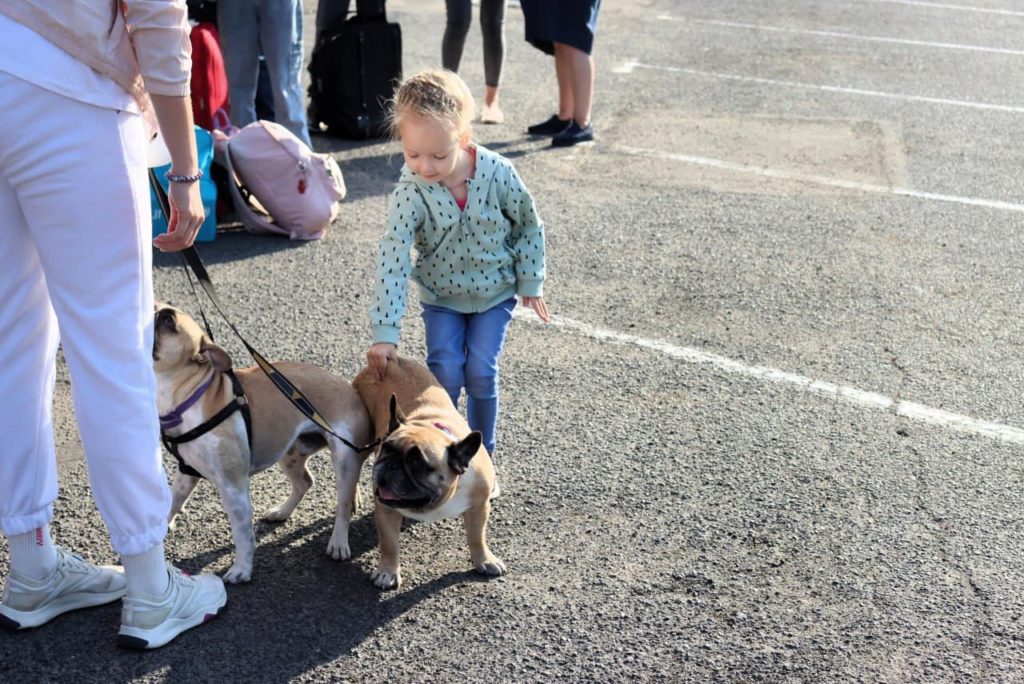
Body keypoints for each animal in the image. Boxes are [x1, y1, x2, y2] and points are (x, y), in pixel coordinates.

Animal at [151, 305, 372, 581]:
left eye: (168, 321)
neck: (191, 396)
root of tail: (353, 390)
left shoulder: (233, 487)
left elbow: (243, 534)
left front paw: (242, 569)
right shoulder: (186, 473)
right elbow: (173, 501)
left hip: (344, 459)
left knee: (342, 504)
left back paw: (339, 542)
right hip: (289, 455)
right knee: (305, 482)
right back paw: (282, 512)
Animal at [354, 356, 505, 589]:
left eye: (417, 462)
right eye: (386, 449)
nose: (391, 464)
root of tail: (391, 361)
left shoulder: (479, 506)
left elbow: (477, 536)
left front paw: (485, 560)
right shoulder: (386, 509)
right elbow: (389, 544)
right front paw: (388, 572)